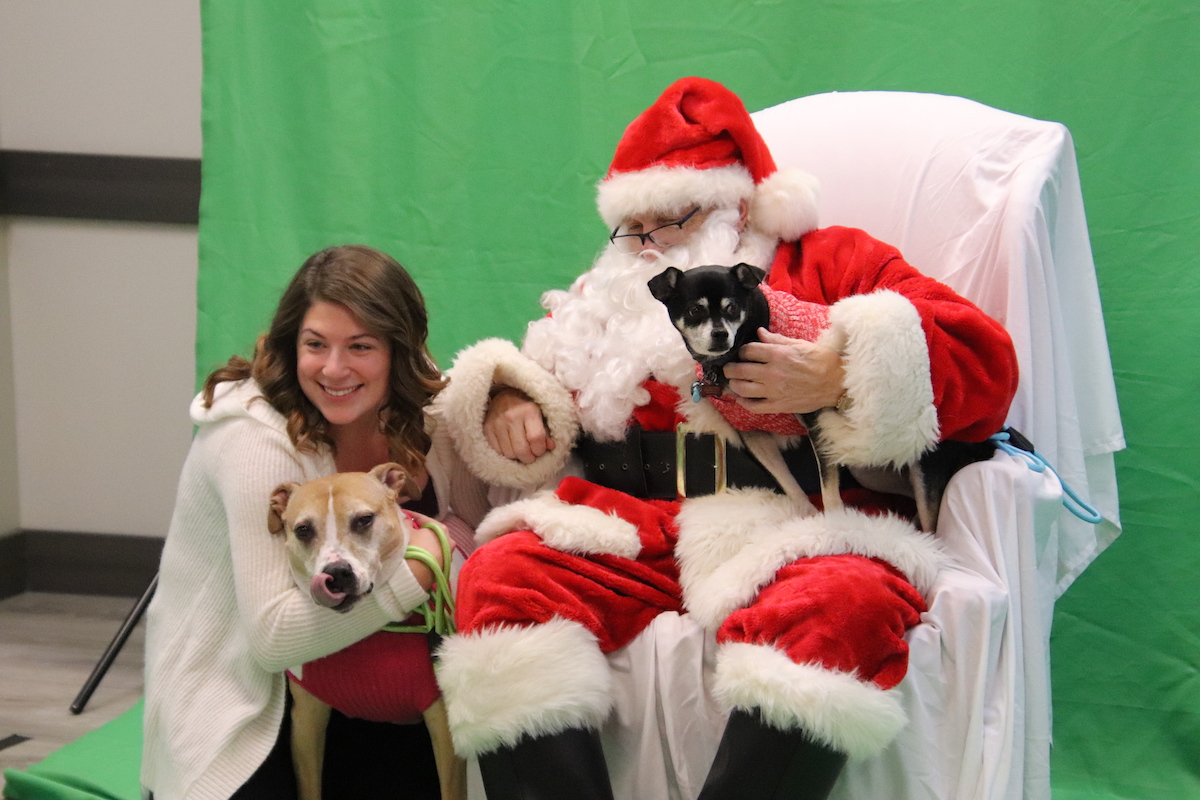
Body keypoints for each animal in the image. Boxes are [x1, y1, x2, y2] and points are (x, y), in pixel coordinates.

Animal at [267, 462, 463, 800]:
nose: (336, 574)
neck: (374, 634)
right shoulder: (306, 722)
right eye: (303, 530)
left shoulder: (444, 724)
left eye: (364, 520)